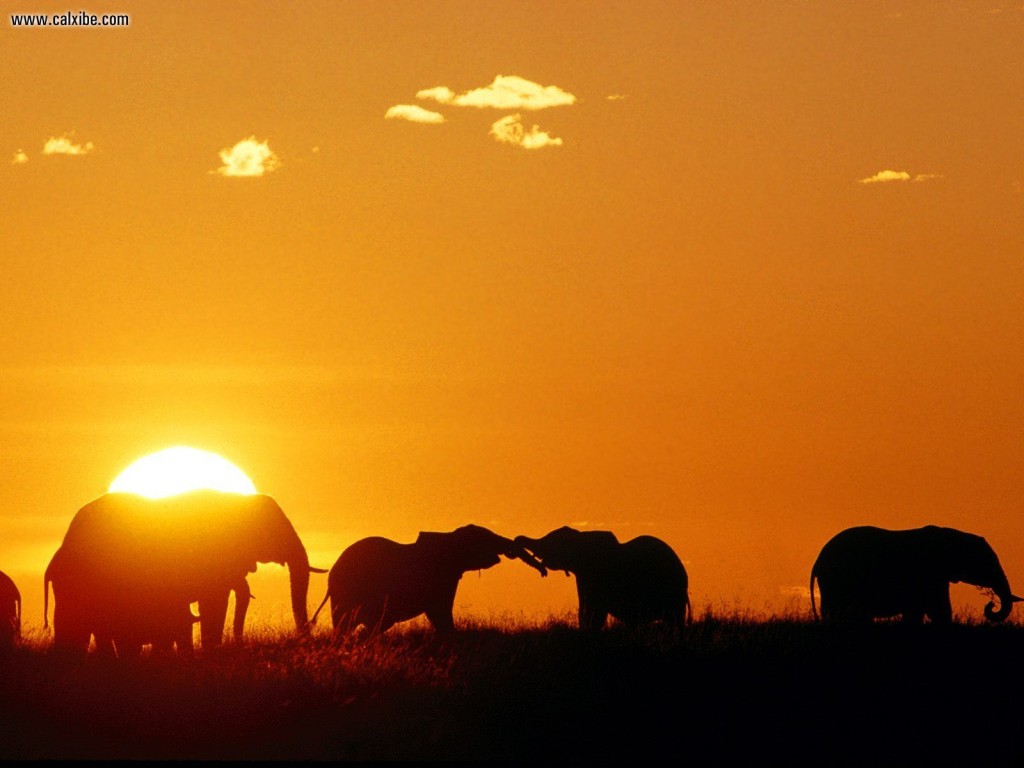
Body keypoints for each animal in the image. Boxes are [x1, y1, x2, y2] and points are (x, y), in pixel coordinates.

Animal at [516, 528, 692, 630]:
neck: (582, 537)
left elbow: (594, 614)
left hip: (672, 594)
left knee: (674, 622)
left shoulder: (597, 575)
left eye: (552, 542)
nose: (517, 539)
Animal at [806, 524, 1024, 626]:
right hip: (837, 580)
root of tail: (817, 562)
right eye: (987, 562)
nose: (991, 604)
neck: (954, 535)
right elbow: (938, 609)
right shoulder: (930, 573)